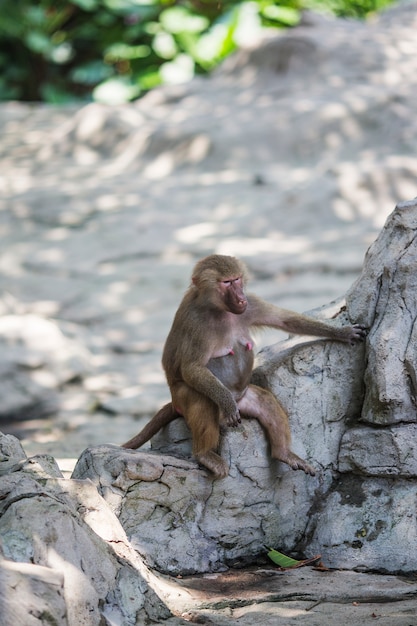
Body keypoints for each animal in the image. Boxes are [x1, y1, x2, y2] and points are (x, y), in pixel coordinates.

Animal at [122, 254, 364, 478]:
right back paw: (205, 454)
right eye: (226, 283)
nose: (240, 298)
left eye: (237, 279)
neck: (219, 307)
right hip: (182, 397)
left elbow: (286, 320)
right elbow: (192, 368)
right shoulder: (196, 322)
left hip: (246, 398)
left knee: (267, 403)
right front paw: (227, 404)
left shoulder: (251, 305)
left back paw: (283, 453)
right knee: (202, 401)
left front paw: (343, 333)